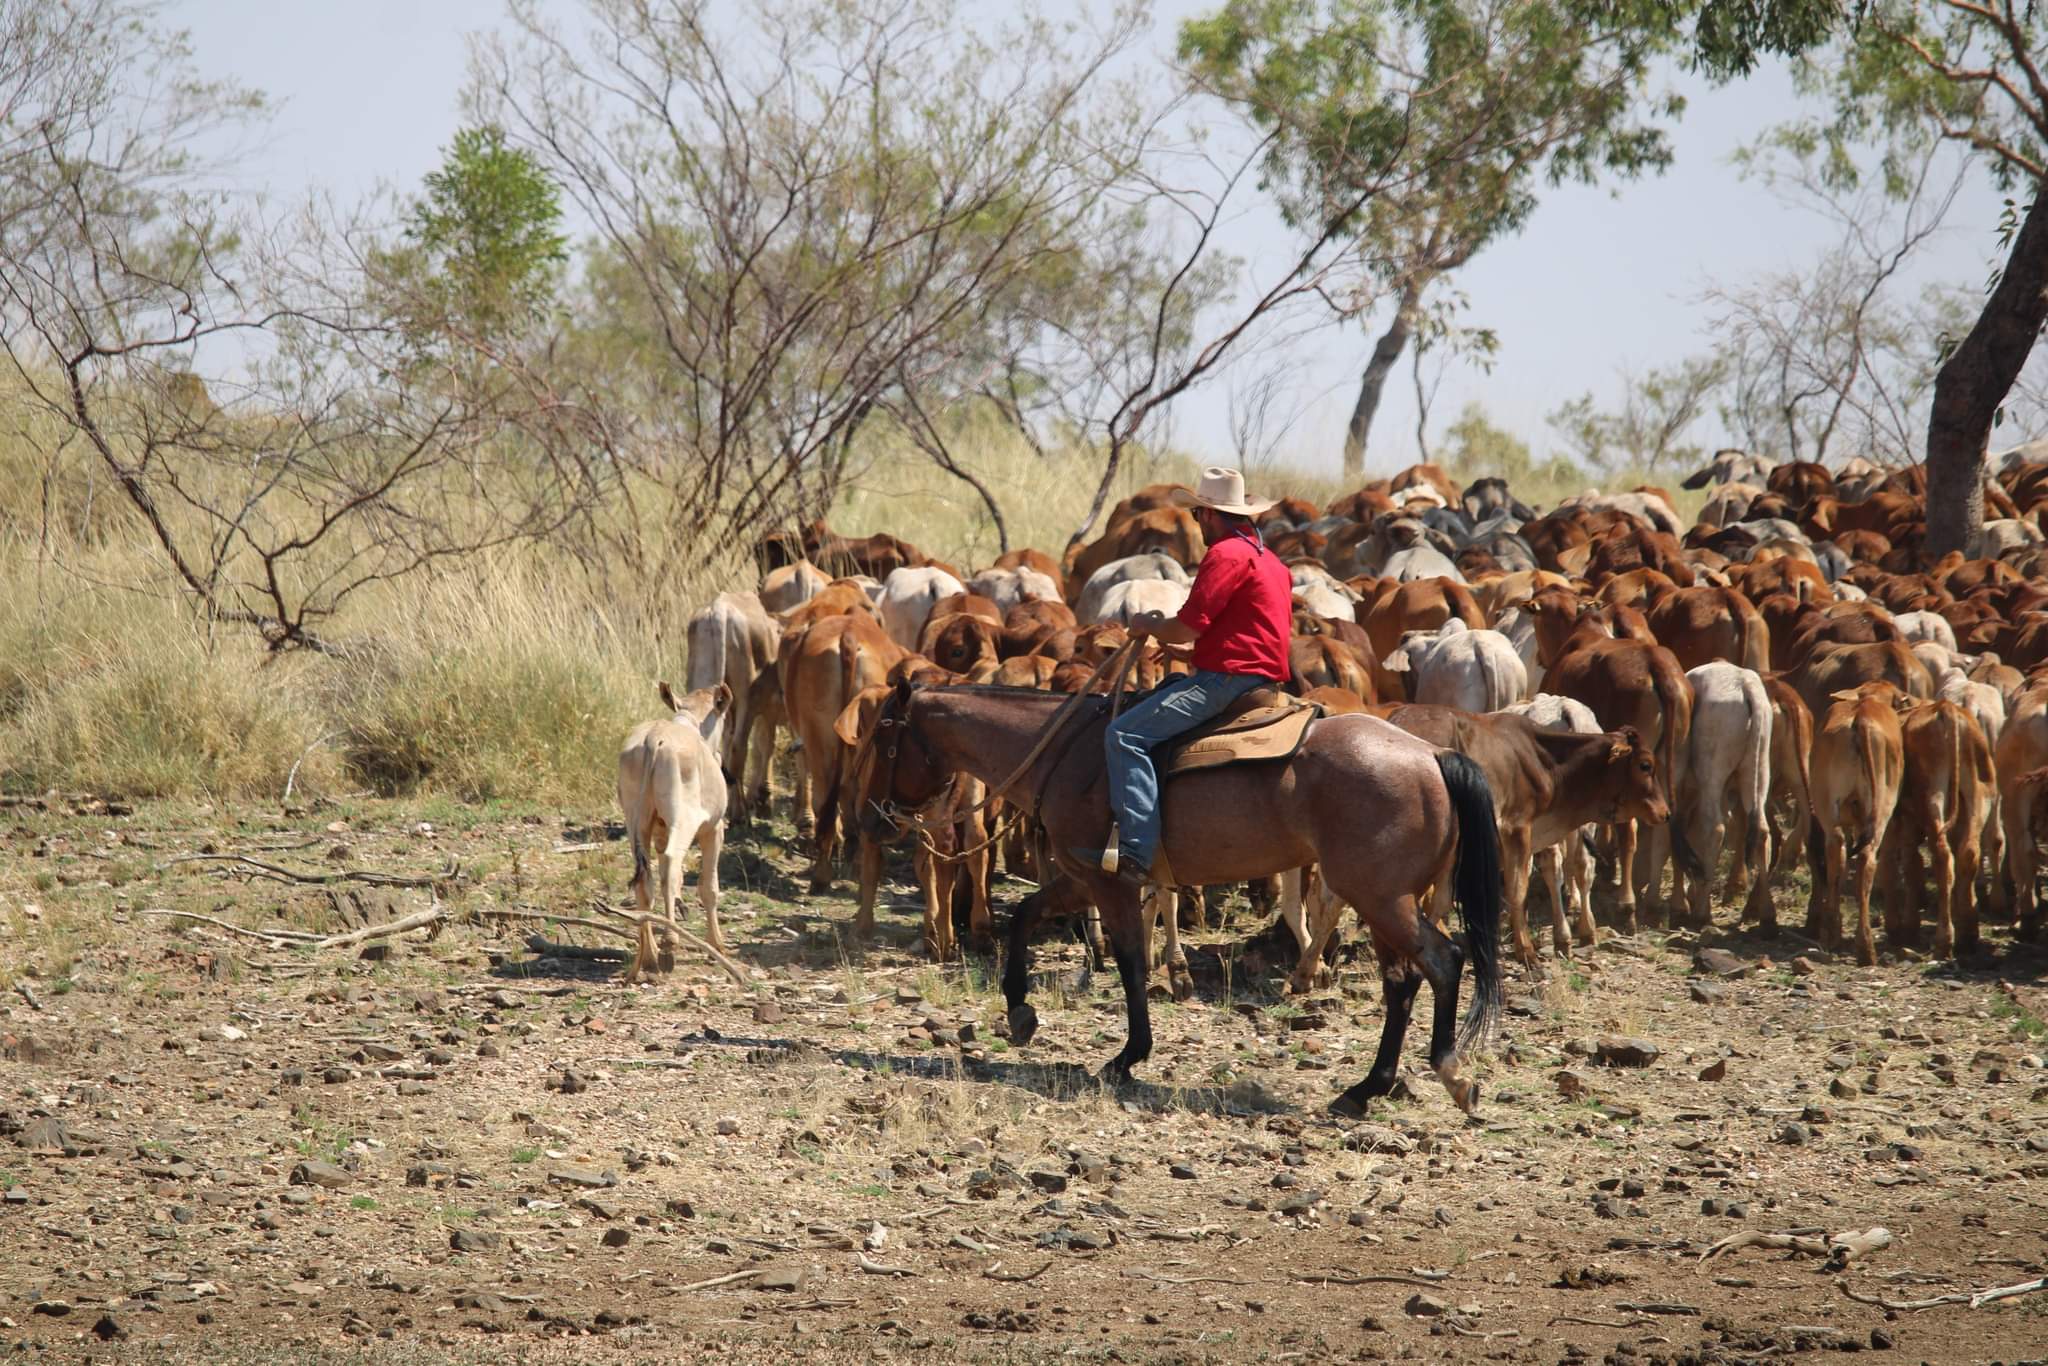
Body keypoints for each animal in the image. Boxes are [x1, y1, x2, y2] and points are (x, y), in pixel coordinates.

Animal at [618, 682, 732, 983]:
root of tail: (654, 738)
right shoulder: (714, 828)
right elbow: (709, 886)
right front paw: (717, 946)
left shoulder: (658, 831)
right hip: (684, 820)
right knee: (671, 863)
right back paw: (669, 943)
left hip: (635, 823)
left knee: (644, 882)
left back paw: (647, 958)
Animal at [848, 679, 1505, 1116]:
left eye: (884, 742)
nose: (870, 820)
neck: (1071, 755)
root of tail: (1433, 756)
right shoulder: (1082, 877)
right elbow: (1025, 916)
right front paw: (1019, 1009)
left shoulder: (1112, 883)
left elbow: (1131, 966)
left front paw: (1127, 1055)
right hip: (1382, 899)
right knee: (1404, 981)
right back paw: (1367, 1088)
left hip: (1382, 898)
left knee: (1442, 962)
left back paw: (1447, 1071)